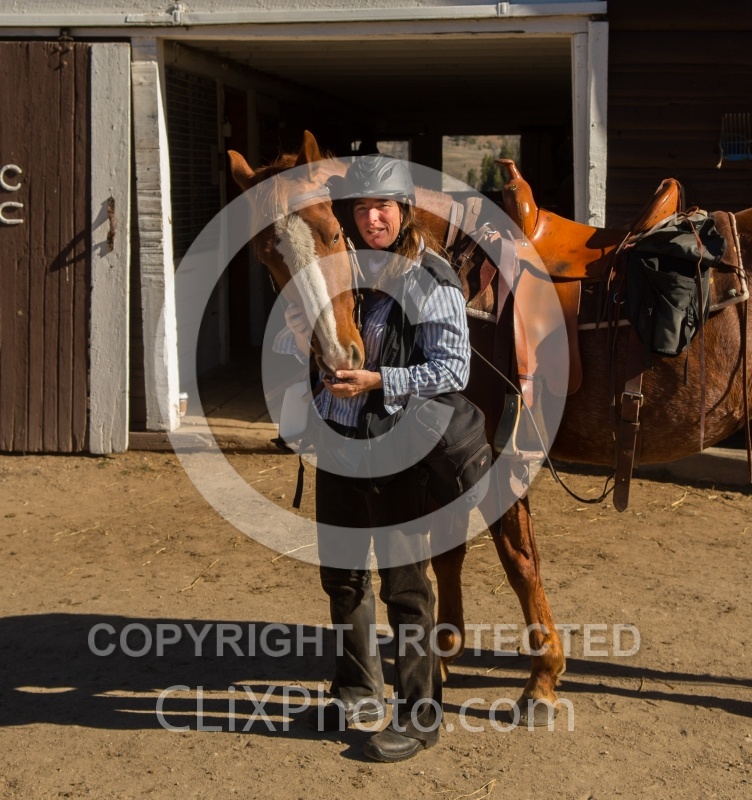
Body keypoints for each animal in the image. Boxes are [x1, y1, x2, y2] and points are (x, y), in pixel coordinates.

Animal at [228, 131, 752, 724]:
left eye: (333, 231)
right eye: (266, 254)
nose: (341, 358)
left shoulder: (497, 450)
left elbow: (518, 560)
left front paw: (542, 679)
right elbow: (450, 552)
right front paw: (445, 655)